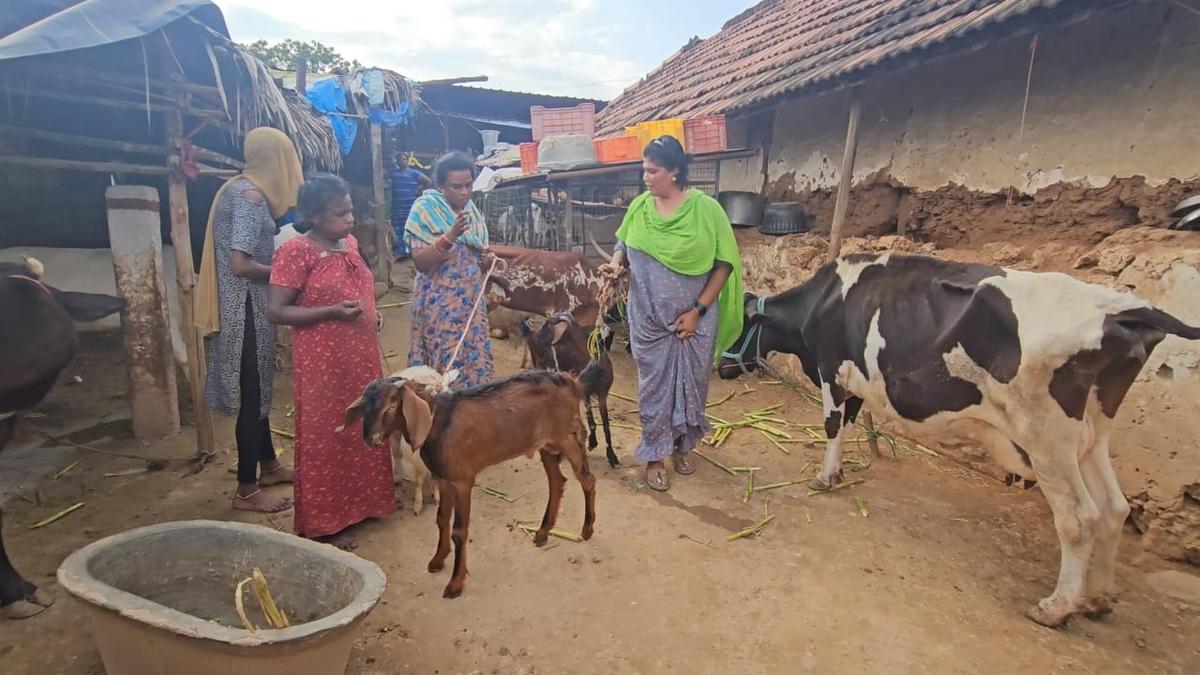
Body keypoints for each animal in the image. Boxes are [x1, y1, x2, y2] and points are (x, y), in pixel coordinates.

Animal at [343, 367, 600, 593]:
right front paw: (437, 560)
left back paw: (587, 530)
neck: (437, 422)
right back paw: (543, 533)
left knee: (587, 479)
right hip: (546, 446)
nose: (371, 438)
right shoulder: (443, 478)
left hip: (569, 438)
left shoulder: (462, 480)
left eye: (392, 405)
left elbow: (459, 530)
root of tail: (573, 382)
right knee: (557, 482)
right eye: (365, 407)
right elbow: (441, 519)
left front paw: (455, 583)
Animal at [715, 251, 1195, 624]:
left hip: (1046, 434)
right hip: (1092, 430)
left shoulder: (833, 369)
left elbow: (833, 424)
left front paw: (823, 477)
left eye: (736, 325)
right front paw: (837, 473)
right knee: (1115, 508)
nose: (720, 367)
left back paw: (1056, 607)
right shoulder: (856, 380)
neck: (823, 302)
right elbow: (848, 424)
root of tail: (1123, 308)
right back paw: (1096, 600)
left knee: (1079, 519)